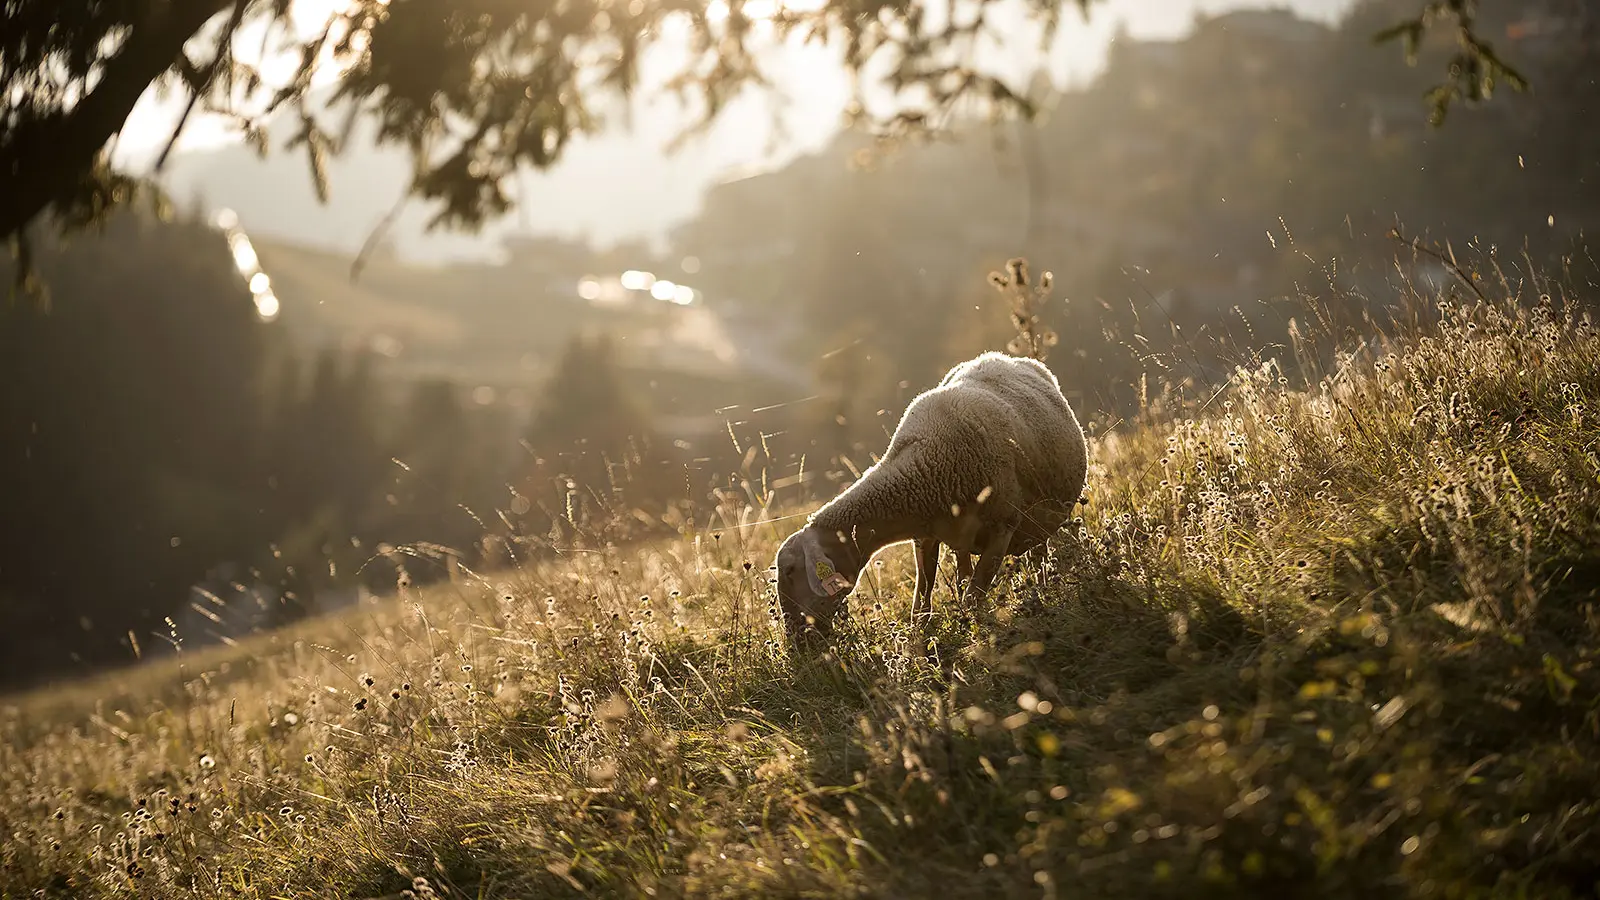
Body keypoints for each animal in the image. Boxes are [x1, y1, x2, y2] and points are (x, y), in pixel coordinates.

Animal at [771, 349, 1088, 637]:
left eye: (789, 570)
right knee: (965, 568)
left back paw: (1043, 590)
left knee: (1038, 557)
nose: (796, 641)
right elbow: (922, 601)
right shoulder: (924, 538)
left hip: (1036, 521)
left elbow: (974, 597)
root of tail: (999, 356)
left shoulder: (1002, 528)